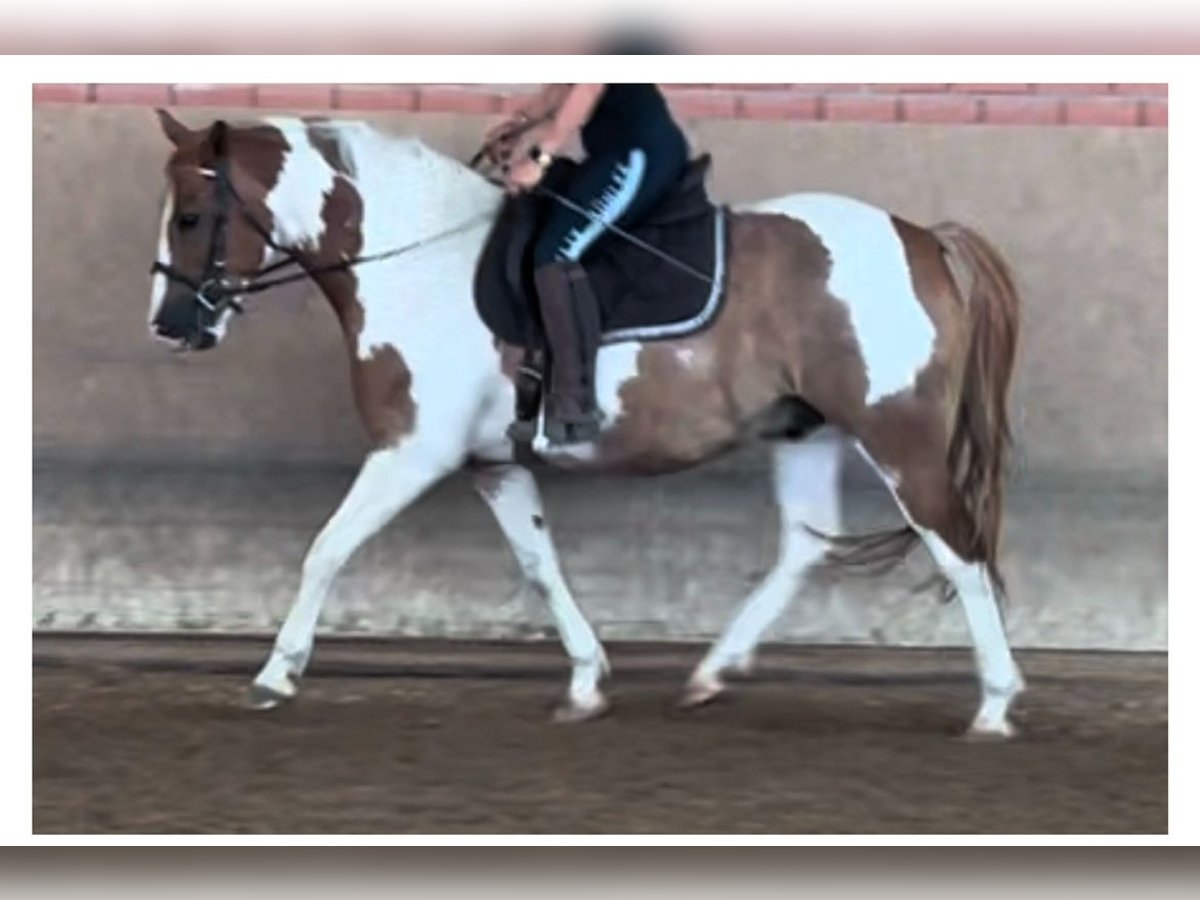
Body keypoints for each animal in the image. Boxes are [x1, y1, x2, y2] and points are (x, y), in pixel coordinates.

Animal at [147, 111, 1022, 739]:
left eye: (189, 217)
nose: (169, 325)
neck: (416, 265)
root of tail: (924, 240)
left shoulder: (412, 452)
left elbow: (326, 549)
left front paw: (275, 674)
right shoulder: (491, 462)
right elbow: (541, 566)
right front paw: (585, 682)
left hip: (898, 435)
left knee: (958, 549)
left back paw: (994, 704)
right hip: (805, 430)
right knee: (805, 545)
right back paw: (708, 675)